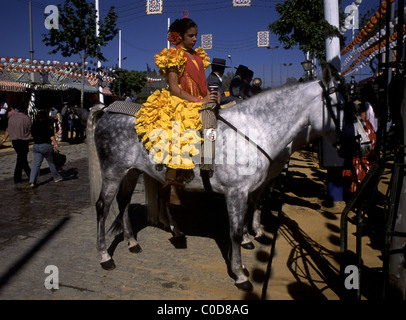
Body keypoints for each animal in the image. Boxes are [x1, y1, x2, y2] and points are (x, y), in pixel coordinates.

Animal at [86, 67, 372, 292]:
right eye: (345, 108)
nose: (365, 145)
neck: (254, 130)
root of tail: (107, 110)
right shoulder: (237, 192)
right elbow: (234, 231)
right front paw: (241, 273)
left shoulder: (252, 188)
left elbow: (248, 215)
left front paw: (249, 242)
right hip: (113, 172)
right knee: (103, 207)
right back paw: (105, 256)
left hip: (132, 172)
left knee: (124, 203)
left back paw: (134, 242)